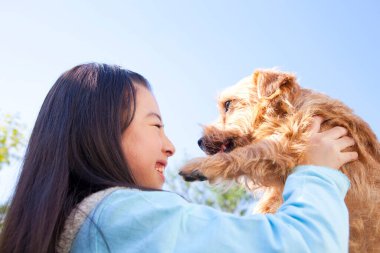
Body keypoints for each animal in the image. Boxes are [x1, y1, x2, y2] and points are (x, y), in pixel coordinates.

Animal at [180, 69, 380, 253]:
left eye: (228, 104)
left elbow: (252, 151)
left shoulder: (290, 147)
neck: (288, 112)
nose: (200, 142)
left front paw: (198, 166)